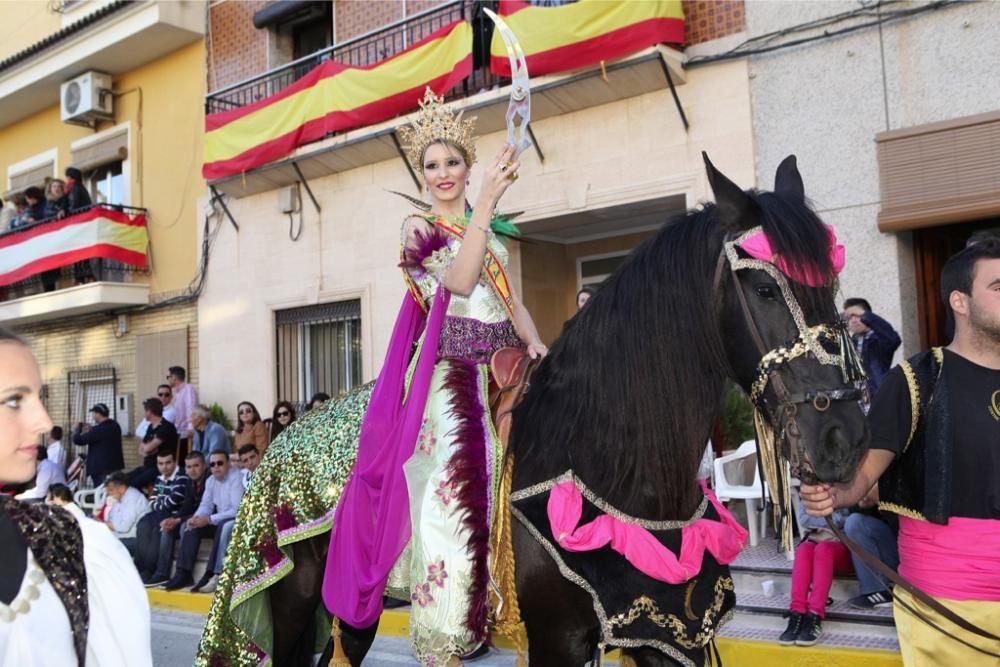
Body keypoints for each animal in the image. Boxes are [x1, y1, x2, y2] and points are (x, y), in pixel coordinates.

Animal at [266, 154, 868, 664]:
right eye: (765, 288)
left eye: (832, 283)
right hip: (295, 596)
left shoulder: (670, 636)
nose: (842, 438)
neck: (605, 456)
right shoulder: (560, 639)